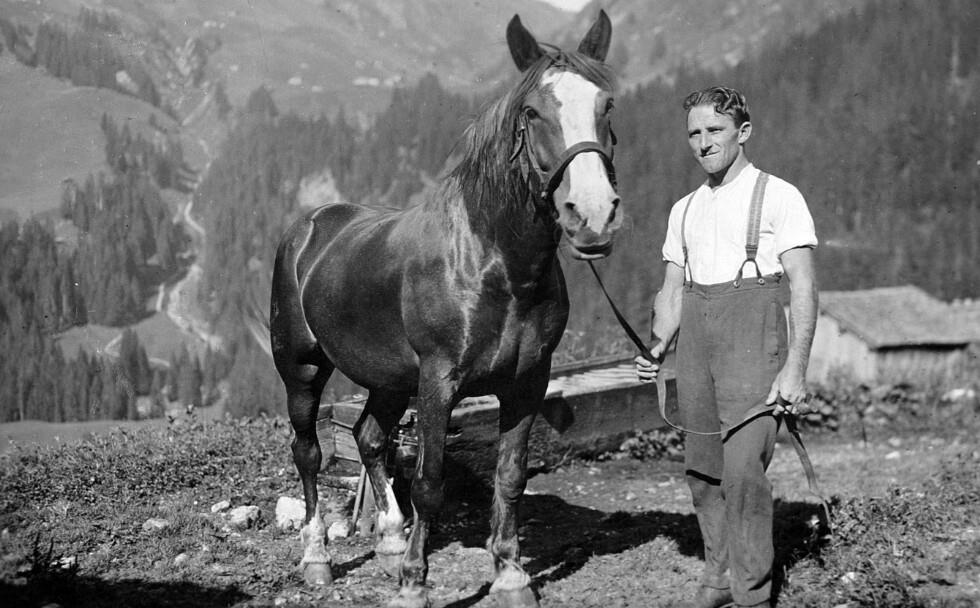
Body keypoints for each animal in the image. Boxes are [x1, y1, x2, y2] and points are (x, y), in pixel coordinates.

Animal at [270, 11, 620, 608]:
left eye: (606, 105)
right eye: (532, 112)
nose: (592, 216)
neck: (494, 266)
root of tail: (308, 228)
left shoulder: (528, 382)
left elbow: (510, 477)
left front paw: (510, 576)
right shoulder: (438, 382)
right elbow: (429, 484)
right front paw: (416, 583)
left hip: (389, 379)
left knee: (369, 438)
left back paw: (389, 545)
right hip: (304, 370)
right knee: (309, 452)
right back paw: (318, 558)